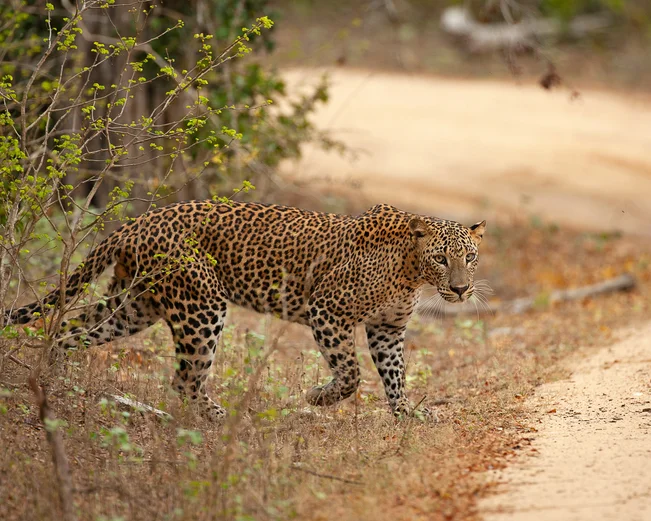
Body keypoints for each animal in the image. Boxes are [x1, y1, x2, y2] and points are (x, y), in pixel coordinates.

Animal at [4, 201, 486, 420]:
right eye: (441, 258)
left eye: (470, 257)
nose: (461, 290)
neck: (411, 271)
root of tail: (140, 221)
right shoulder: (327, 310)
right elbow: (351, 374)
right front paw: (318, 397)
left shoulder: (387, 328)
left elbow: (395, 374)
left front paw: (407, 414)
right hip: (201, 305)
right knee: (184, 379)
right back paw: (224, 418)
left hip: (134, 305)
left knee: (68, 331)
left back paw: (51, 381)